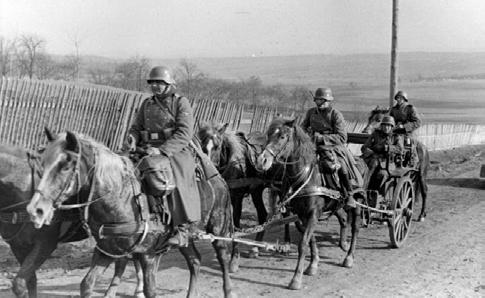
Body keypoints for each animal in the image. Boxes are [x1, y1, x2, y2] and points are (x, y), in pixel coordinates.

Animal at [25, 130, 235, 298]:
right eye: (43, 163)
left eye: (66, 166)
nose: (36, 210)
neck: (121, 197)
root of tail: (219, 178)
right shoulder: (107, 250)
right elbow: (87, 283)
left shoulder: (148, 255)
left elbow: (150, 290)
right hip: (188, 238)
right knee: (195, 261)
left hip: (219, 228)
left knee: (223, 257)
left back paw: (229, 290)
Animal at [255, 117, 362, 290]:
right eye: (269, 135)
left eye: (282, 137)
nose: (262, 160)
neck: (305, 177)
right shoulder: (303, 215)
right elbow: (310, 239)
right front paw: (313, 265)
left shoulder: (313, 214)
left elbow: (303, 243)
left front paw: (296, 279)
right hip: (335, 205)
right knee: (344, 220)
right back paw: (343, 244)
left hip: (357, 202)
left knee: (356, 226)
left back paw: (349, 257)